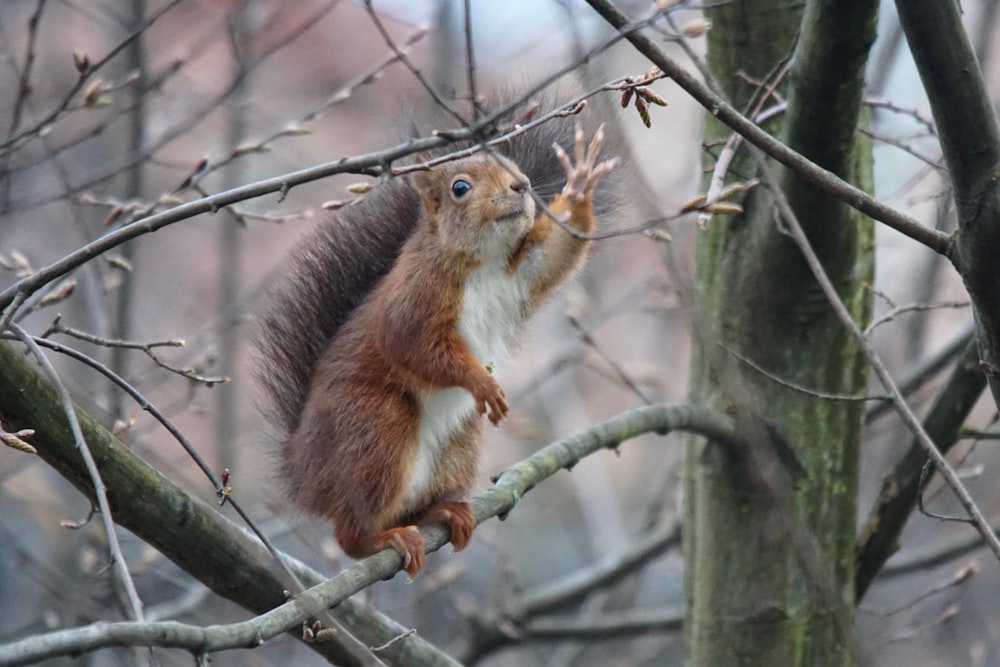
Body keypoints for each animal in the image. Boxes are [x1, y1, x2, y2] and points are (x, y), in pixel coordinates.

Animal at [258, 95, 616, 580]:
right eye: (460, 188)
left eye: (511, 166)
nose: (521, 185)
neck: (483, 260)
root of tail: (303, 475)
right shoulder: (415, 298)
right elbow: (412, 345)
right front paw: (480, 382)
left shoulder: (524, 268)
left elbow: (556, 255)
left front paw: (579, 188)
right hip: (375, 428)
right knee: (350, 532)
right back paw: (380, 539)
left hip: (458, 445)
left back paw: (443, 513)